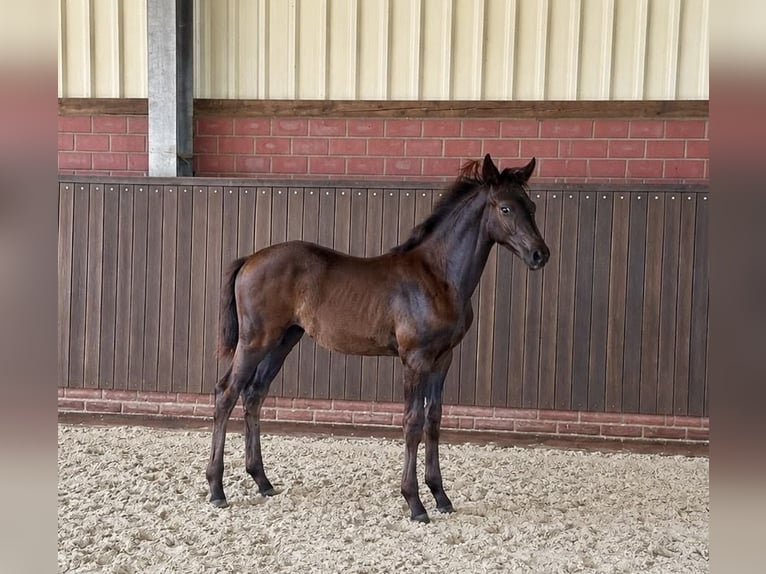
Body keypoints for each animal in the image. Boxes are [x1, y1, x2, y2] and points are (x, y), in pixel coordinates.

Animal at [206, 154, 550, 523]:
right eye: (505, 208)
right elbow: (412, 422)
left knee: (254, 394)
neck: (438, 276)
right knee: (227, 393)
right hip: (256, 340)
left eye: (531, 206)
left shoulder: (443, 359)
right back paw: (216, 488)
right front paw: (415, 503)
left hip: (284, 340)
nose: (540, 254)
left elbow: (434, 419)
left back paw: (262, 481)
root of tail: (249, 260)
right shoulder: (415, 359)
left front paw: (440, 496)